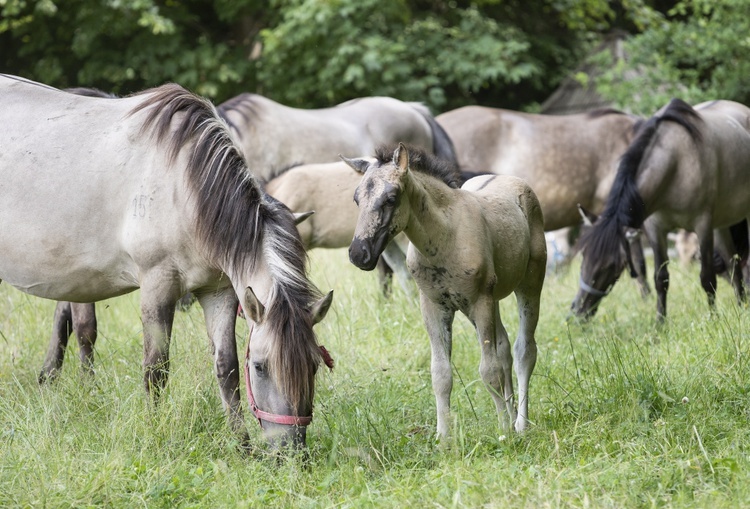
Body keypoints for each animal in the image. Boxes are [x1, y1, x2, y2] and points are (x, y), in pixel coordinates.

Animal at [0, 75, 334, 448]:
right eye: (261, 366)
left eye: (314, 364)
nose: (290, 448)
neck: (184, 187)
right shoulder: (157, 286)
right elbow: (156, 368)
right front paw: (152, 431)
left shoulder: (218, 291)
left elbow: (227, 367)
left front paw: (242, 444)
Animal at [346, 144, 548, 436]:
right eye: (356, 199)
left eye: (391, 198)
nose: (358, 254)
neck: (446, 237)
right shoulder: (434, 306)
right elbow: (441, 373)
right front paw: (444, 437)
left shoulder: (480, 301)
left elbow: (489, 370)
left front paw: (503, 432)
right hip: (491, 301)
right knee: (505, 347)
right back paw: (512, 419)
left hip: (529, 284)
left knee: (524, 350)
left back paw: (520, 424)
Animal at [572, 98, 750, 322]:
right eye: (583, 258)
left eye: (612, 265)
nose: (577, 311)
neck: (676, 163)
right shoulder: (656, 228)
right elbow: (661, 279)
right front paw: (660, 323)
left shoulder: (703, 226)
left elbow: (707, 278)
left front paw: (714, 319)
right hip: (721, 223)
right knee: (733, 264)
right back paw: (742, 307)